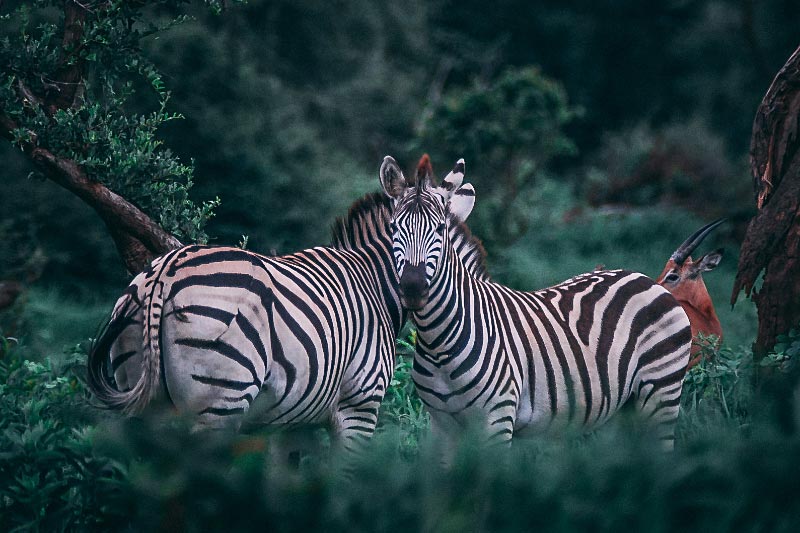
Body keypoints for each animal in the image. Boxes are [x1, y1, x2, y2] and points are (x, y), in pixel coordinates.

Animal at [88, 163, 485, 452]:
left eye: (439, 232)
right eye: (396, 229)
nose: (413, 288)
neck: (375, 283)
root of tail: (165, 271)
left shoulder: (294, 419)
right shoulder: (359, 406)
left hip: (142, 393)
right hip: (219, 400)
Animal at [379, 155, 692, 450]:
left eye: (440, 229)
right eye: (393, 227)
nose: (413, 288)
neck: (439, 342)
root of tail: (644, 278)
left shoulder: (498, 418)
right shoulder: (442, 425)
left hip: (662, 391)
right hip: (622, 409)